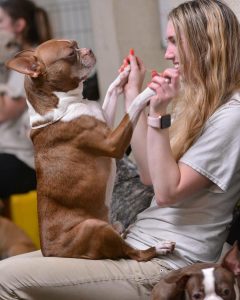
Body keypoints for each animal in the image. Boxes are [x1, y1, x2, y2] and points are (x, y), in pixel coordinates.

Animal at [5, 39, 174, 260]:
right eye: (70, 54)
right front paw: (150, 89)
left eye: (76, 44)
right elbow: (132, 108)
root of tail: (50, 252)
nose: (88, 50)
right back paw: (158, 247)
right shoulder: (113, 143)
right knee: (134, 254)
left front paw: (126, 74)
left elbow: (111, 91)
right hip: (95, 227)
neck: (64, 106)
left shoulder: (107, 123)